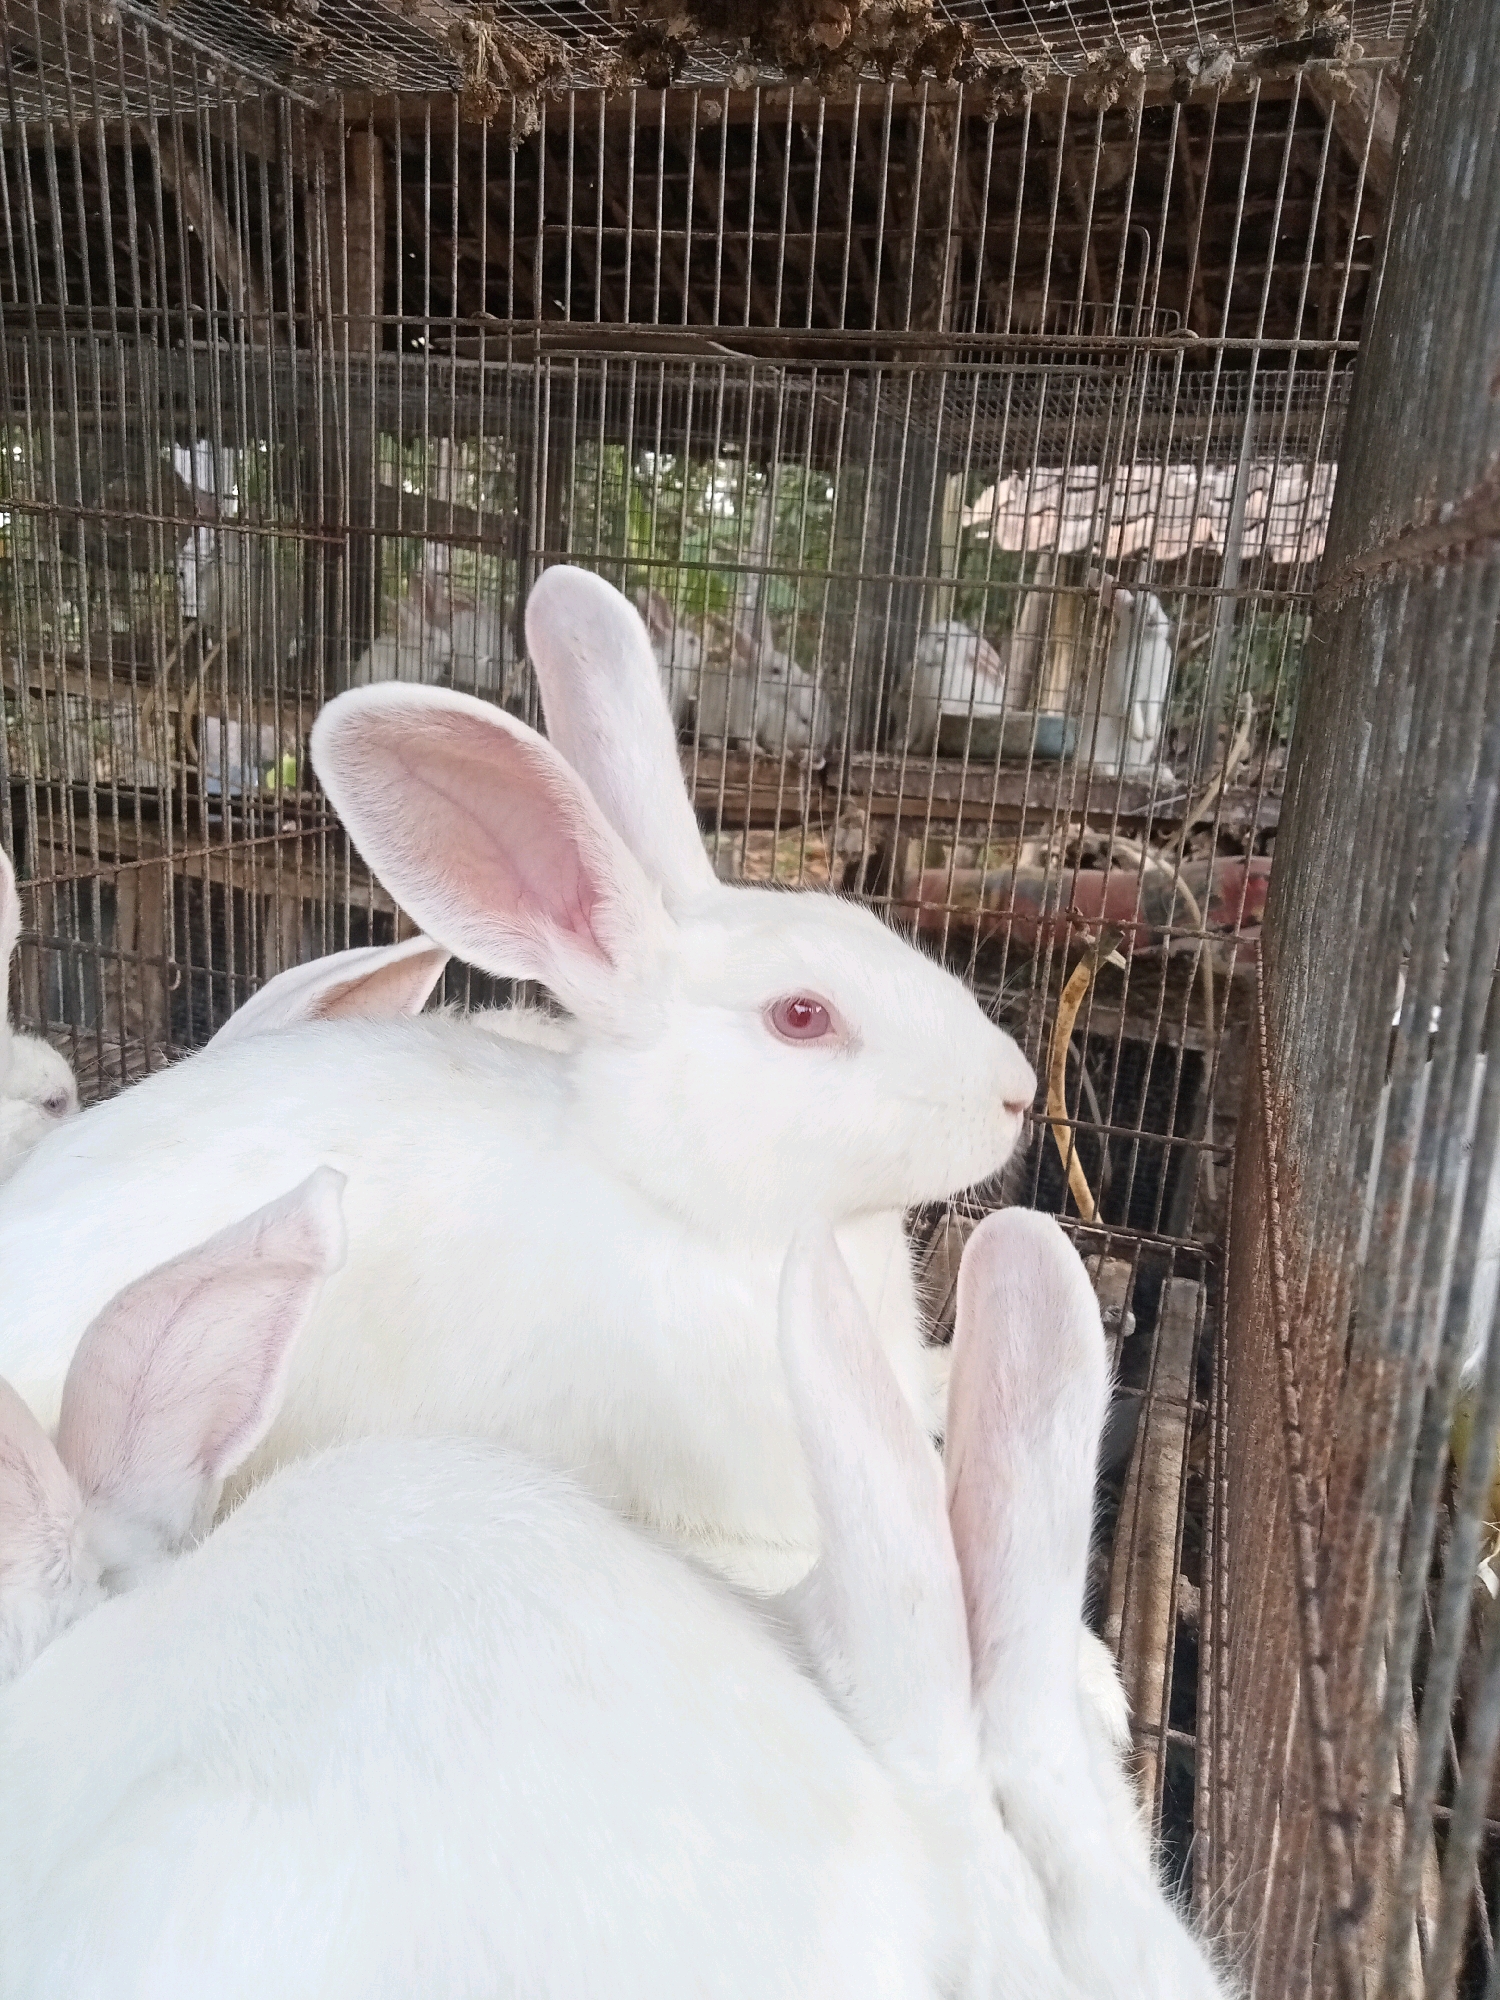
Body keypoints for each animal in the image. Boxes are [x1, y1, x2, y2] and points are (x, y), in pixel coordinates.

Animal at [906, 620, 1012, 757]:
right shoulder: (918, 707)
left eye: (940, 640)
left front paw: (919, 749)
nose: (918, 652)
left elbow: (928, 734)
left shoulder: (934, 712)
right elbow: (913, 727)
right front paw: (902, 744)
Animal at [1088, 578, 1177, 785]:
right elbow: (1131, 707)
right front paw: (1138, 733)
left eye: (1158, 605)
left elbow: (1151, 709)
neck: (1147, 643)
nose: (1153, 616)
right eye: (1132, 608)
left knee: (1130, 770)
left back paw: (1160, 773)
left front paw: (1148, 733)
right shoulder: (1125, 686)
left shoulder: (1155, 692)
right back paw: (1102, 769)